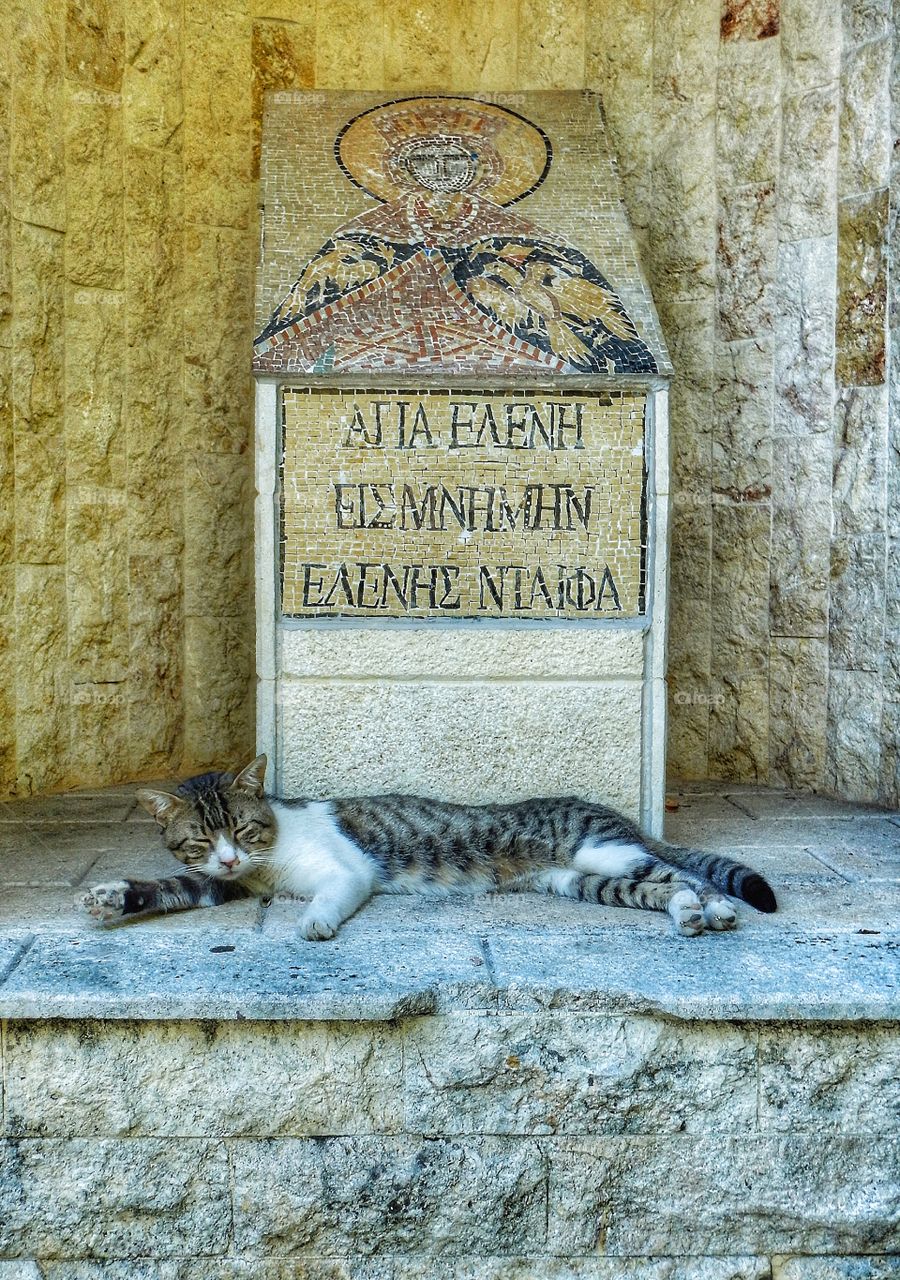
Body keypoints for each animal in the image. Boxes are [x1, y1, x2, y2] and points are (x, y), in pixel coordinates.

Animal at [79, 747, 773, 942]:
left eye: (244, 829)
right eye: (200, 841)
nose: (229, 856)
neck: (264, 869)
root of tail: (617, 814)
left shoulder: (348, 870)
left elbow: (329, 895)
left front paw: (313, 922)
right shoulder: (224, 884)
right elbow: (174, 889)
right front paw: (113, 896)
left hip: (602, 851)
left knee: (685, 875)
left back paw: (713, 909)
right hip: (585, 881)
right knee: (656, 888)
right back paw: (688, 915)